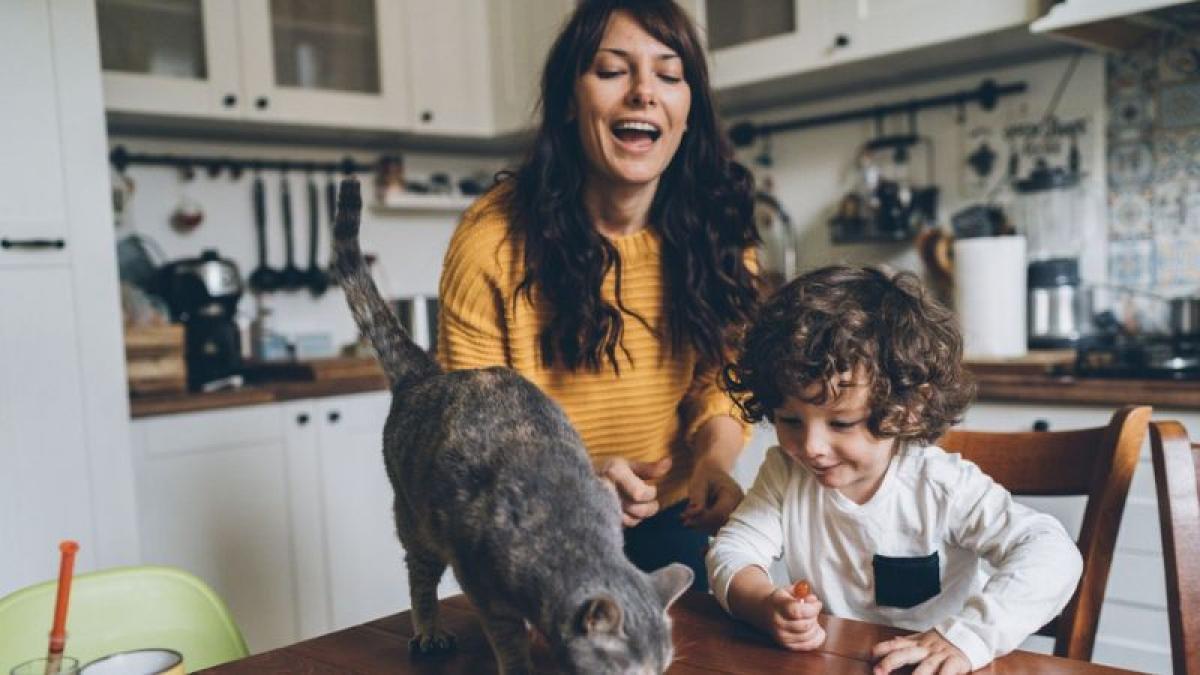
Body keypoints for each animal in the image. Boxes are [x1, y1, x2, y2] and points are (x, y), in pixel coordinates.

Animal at [331, 176, 696, 667]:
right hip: (414, 520)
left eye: (661, 669)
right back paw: (428, 630)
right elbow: (508, 639)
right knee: (420, 578)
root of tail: (426, 373)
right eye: (630, 672)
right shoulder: (484, 589)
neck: (571, 534)